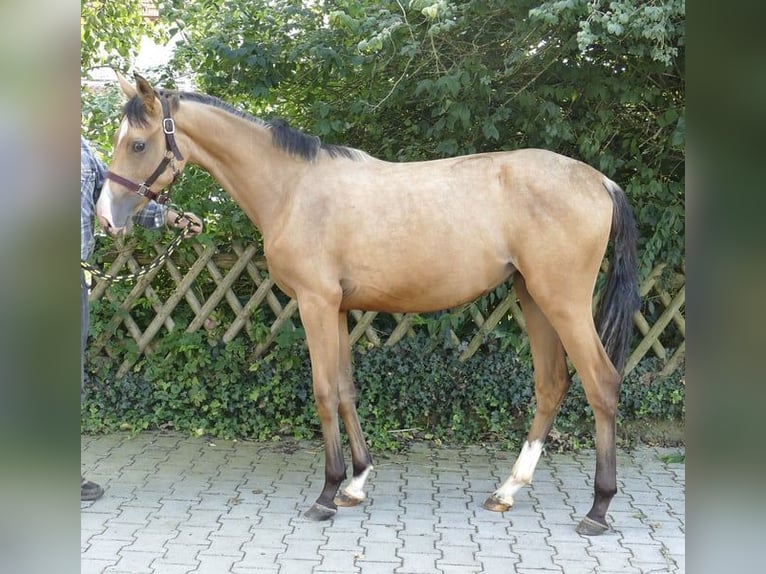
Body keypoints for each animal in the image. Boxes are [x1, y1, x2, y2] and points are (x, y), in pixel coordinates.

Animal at [96, 71, 640, 536]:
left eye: (138, 143)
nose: (105, 217)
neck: (293, 188)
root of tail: (599, 181)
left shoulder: (315, 304)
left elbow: (322, 392)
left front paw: (326, 493)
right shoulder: (336, 309)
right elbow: (344, 390)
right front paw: (355, 483)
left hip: (563, 301)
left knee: (602, 383)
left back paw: (597, 508)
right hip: (534, 297)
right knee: (552, 384)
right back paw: (508, 490)